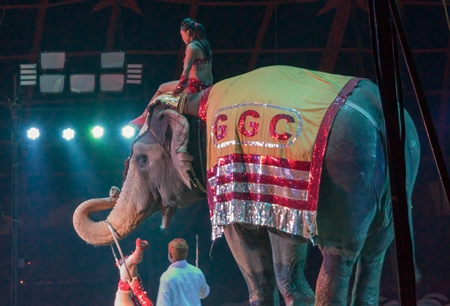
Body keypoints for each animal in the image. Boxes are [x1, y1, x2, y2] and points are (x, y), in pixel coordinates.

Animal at [72, 65, 420, 304]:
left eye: (142, 160)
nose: (111, 192)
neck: (193, 102)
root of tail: (377, 109)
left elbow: (245, 247)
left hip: (344, 172)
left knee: (329, 259)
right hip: (400, 175)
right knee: (374, 254)